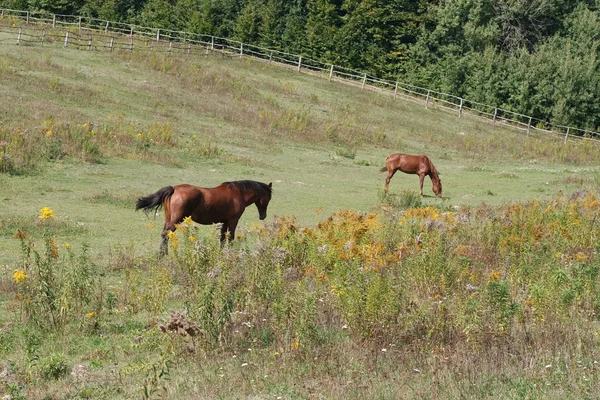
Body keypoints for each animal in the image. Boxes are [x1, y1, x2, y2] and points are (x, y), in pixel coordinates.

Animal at [135, 180, 272, 255]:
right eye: (269, 197)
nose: (263, 216)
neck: (239, 193)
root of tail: (173, 189)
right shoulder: (233, 221)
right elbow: (230, 238)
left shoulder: (224, 222)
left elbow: (222, 239)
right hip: (175, 221)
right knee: (166, 235)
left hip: (169, 219)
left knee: (165, 235)